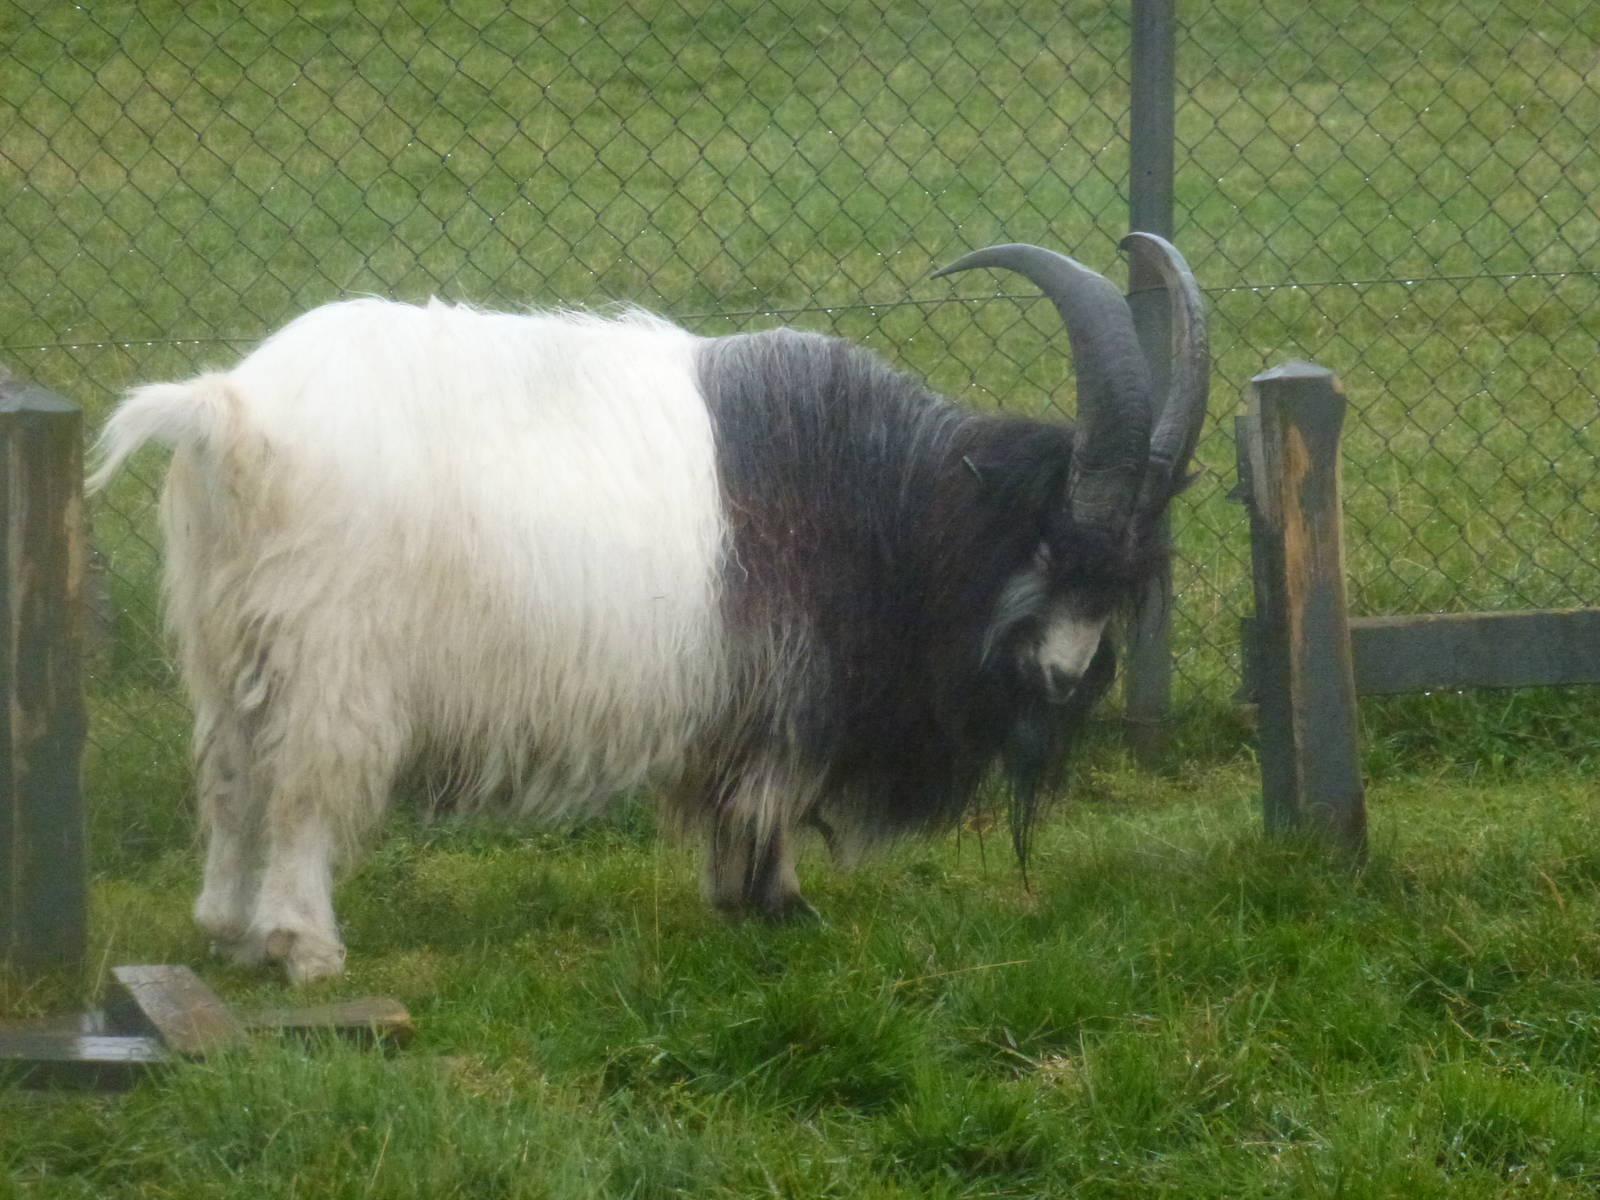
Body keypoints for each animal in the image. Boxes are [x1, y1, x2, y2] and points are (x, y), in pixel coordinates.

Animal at [90, 234, 1208, 983]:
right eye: (1051, 549)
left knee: (231, 777)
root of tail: (235, 412)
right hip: (333, 659)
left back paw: (229, 932)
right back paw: (305, 947)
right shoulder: (786, 688)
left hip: (230, 646)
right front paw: (778, 906)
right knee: (301, 789)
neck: (891, 499)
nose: (1064, 676)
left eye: (1125, 578)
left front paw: (741, 899)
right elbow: (767, 796)